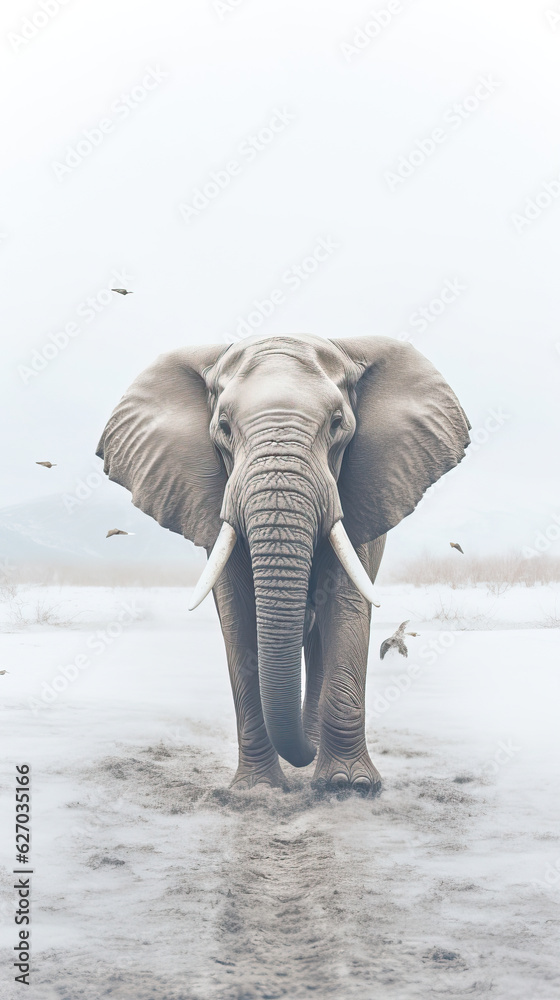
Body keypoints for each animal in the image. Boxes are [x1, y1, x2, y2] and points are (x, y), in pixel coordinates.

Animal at [96, 333, 470, 794]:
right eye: (223, 428)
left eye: (337, 424)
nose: (301, 759)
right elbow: (238, 617)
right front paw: (257, 789)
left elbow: (346, 605)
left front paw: (349, 787)